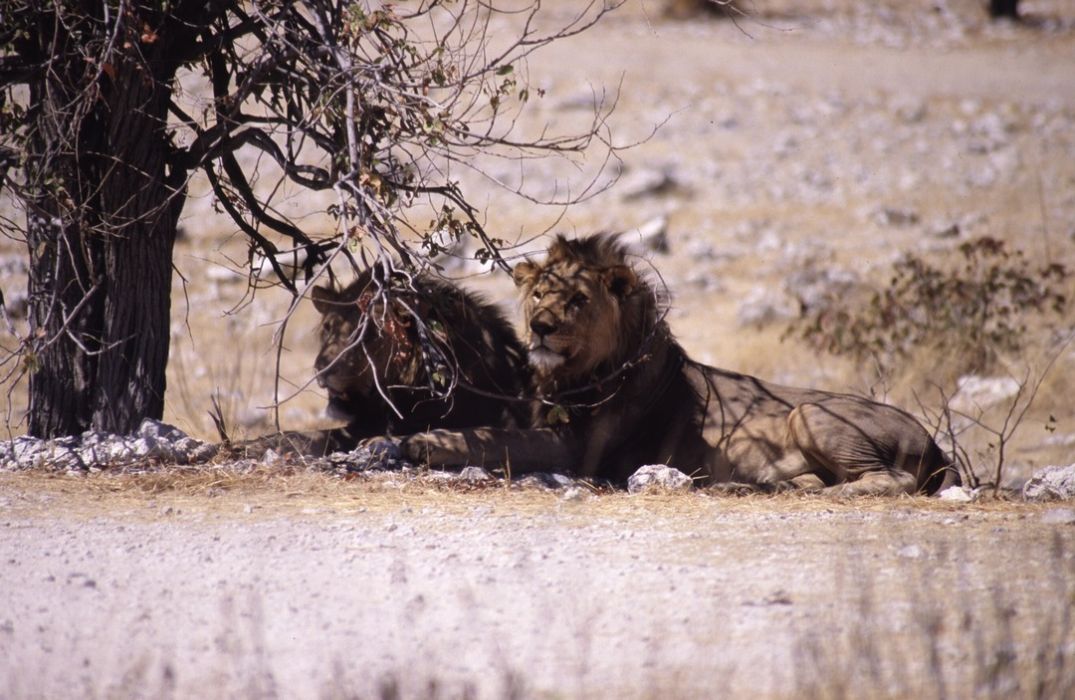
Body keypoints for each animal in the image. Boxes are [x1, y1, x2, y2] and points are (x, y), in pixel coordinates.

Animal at [397, 235, 967, 498]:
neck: (575, 374)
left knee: (893, 478)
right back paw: (764, 485)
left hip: (808, 412)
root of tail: (935, 441)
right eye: (539, 294)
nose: (540, 326)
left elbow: (497, 438)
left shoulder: (579, 449)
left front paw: (425, 441)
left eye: (577, 300)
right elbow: (496, 430)